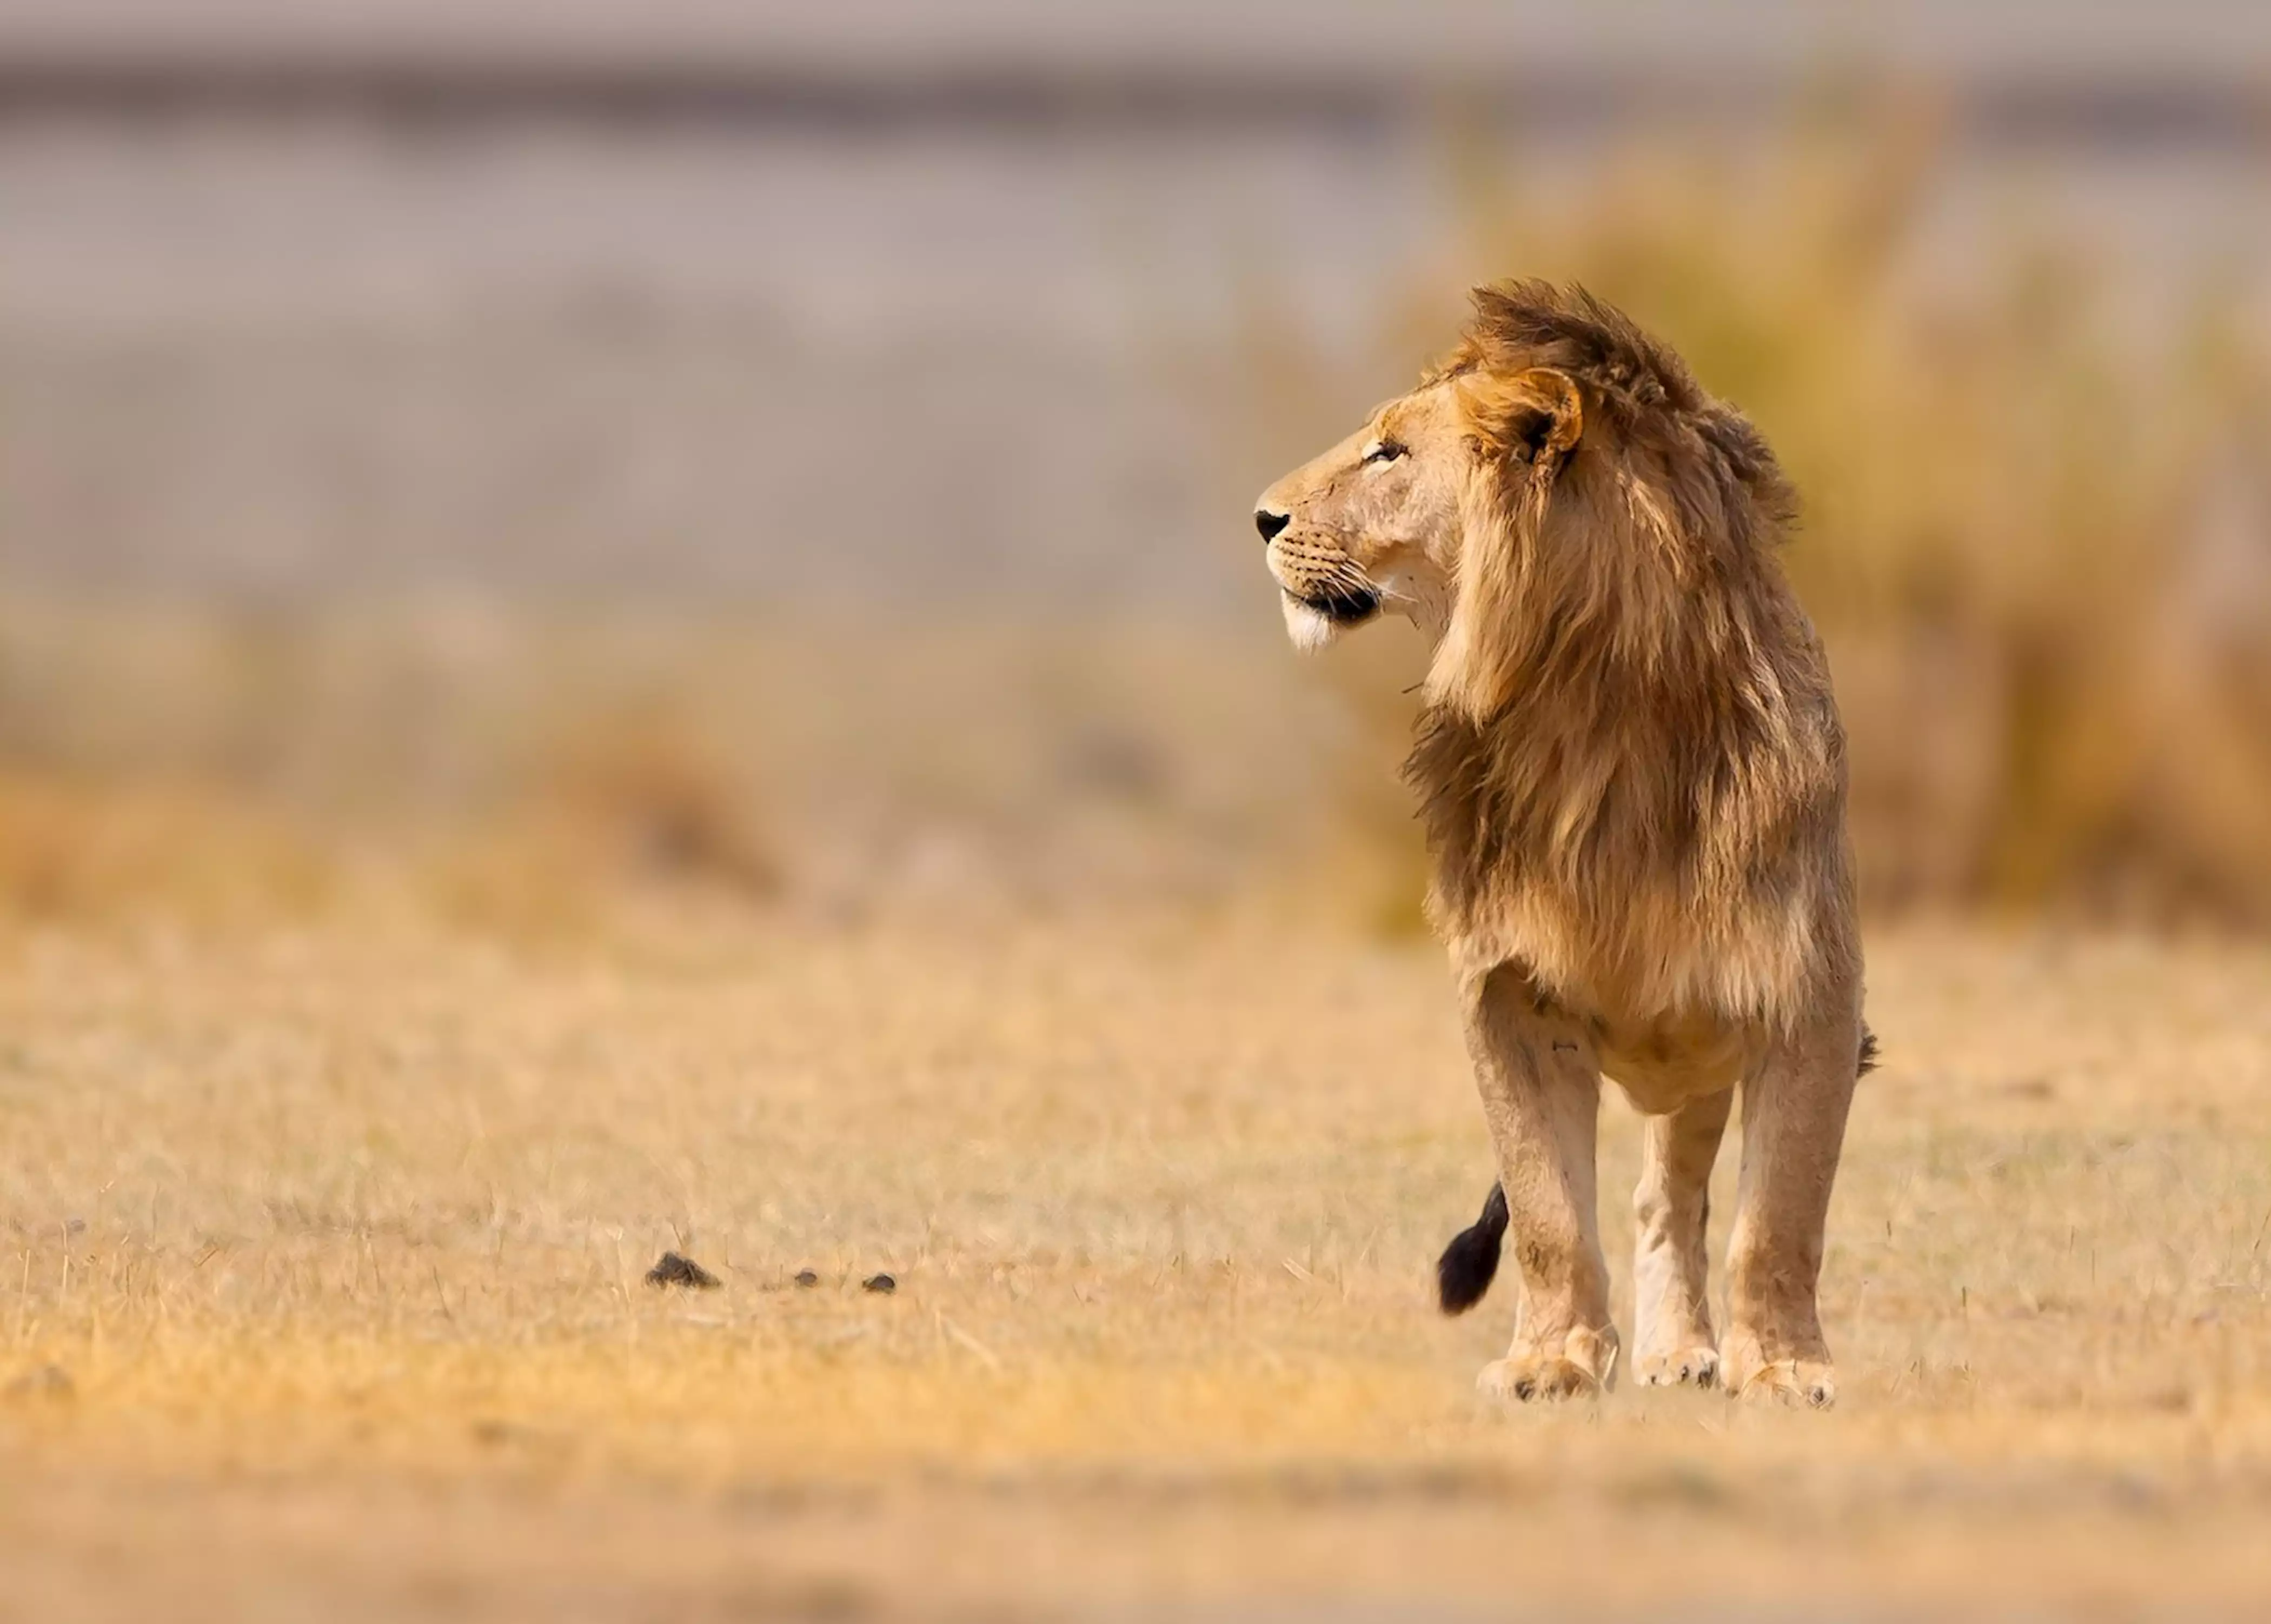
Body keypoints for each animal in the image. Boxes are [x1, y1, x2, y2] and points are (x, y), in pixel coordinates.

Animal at [1253, 283, 1871, 1408]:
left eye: (1390, 452)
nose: (1262, 517)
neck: (1585, 710)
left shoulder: (1804, 989)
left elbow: (1780, 1217)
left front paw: (1783, 1365)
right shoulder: (1504, 992)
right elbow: (1548, 1212)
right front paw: (1554, 1358)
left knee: (1673, 1195)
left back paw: (1685, 1349)